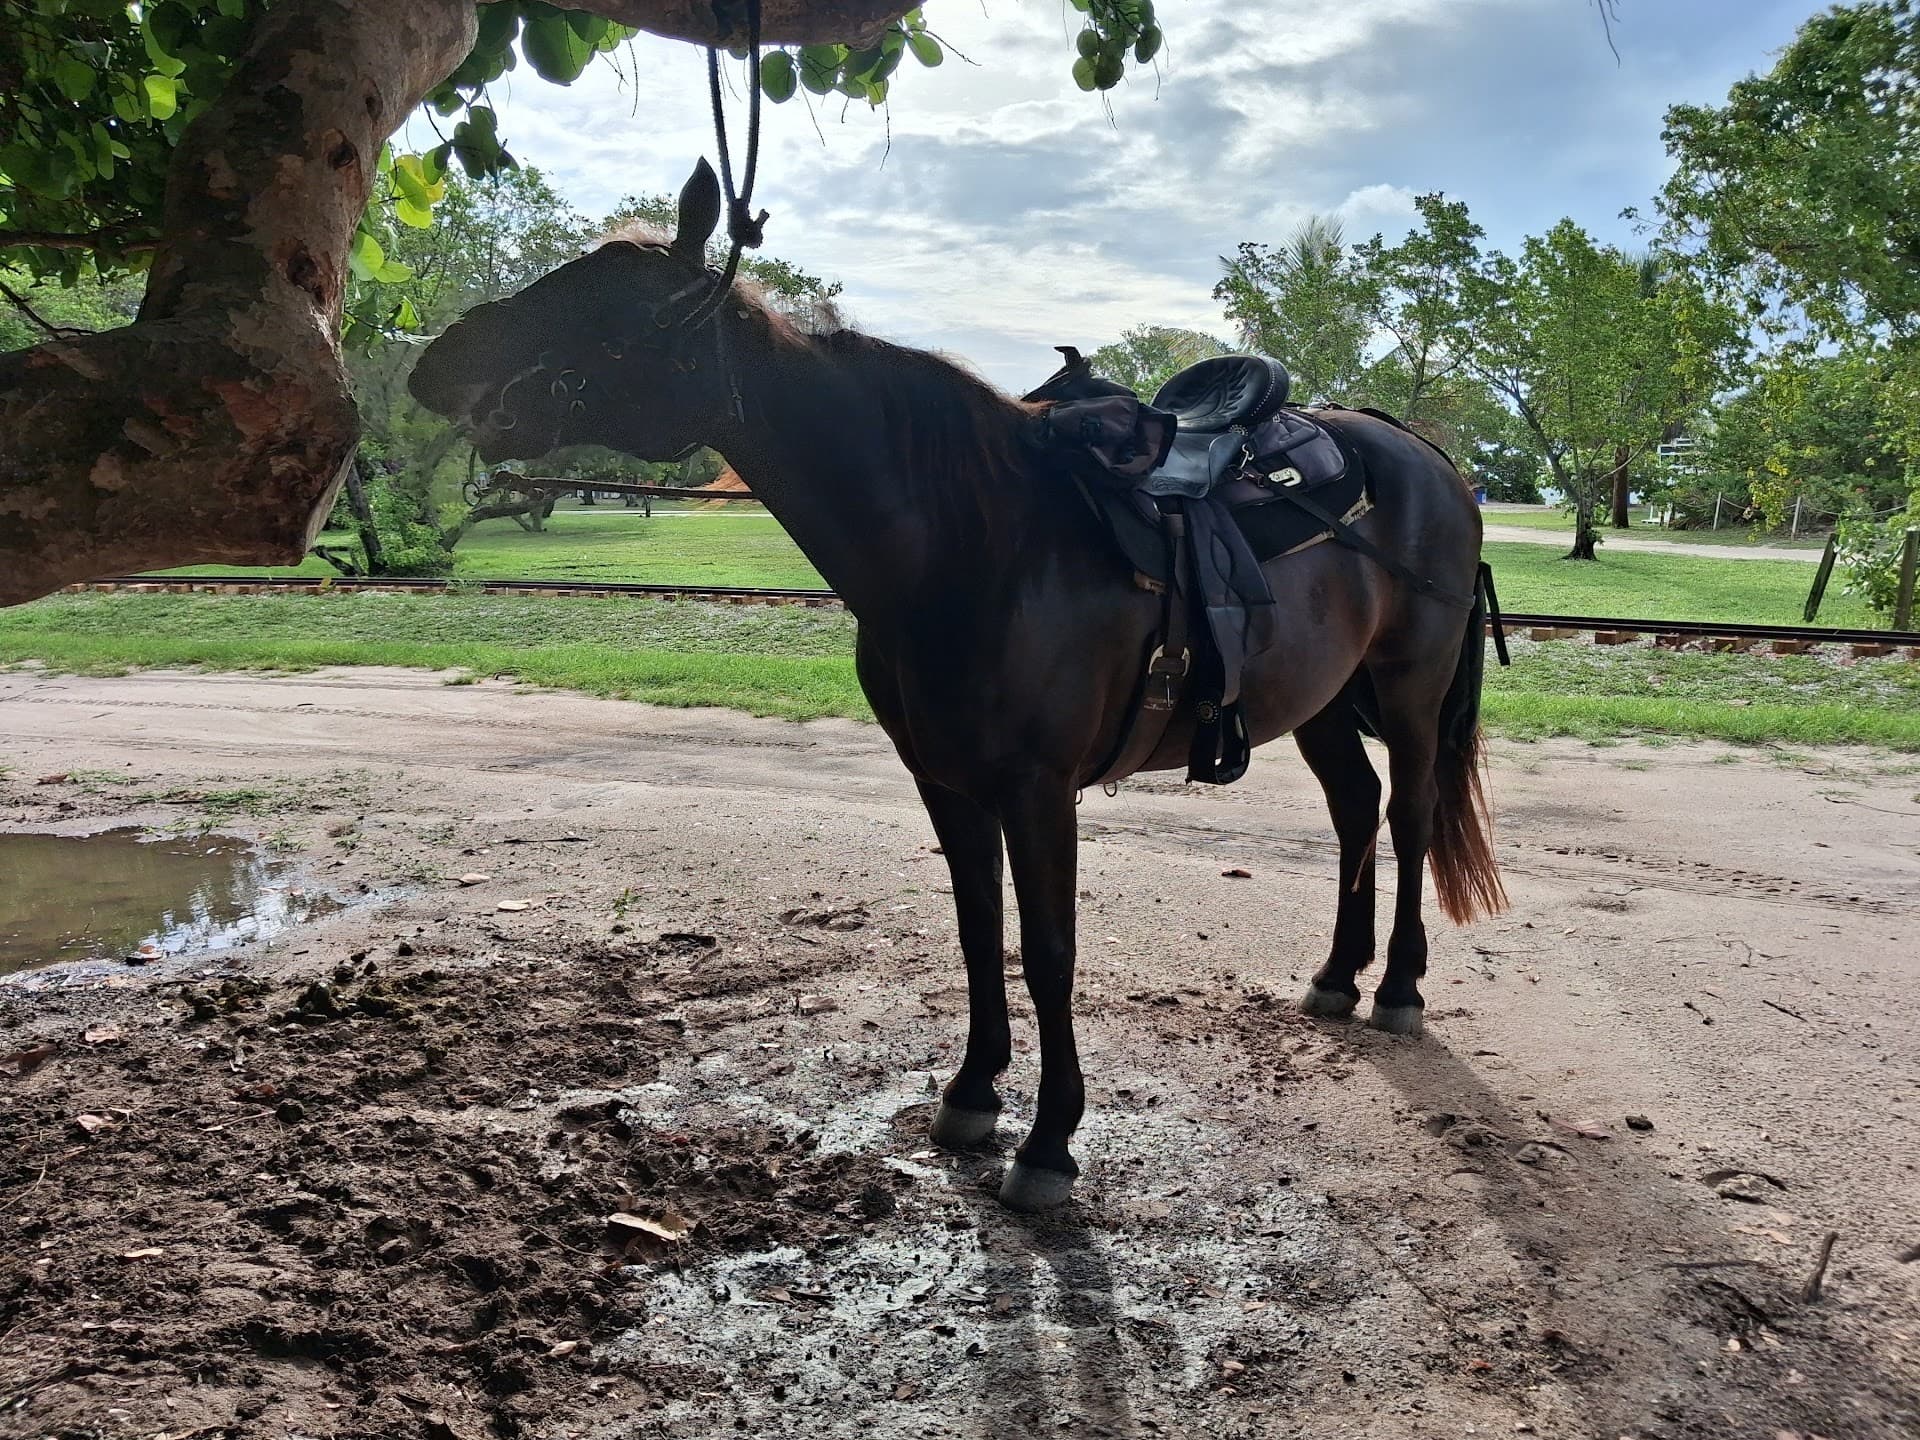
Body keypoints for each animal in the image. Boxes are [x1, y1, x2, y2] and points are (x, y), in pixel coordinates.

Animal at [408, 160, 1506, 1213]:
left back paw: (1399, 988)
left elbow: (1050, 948)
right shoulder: (946, 779)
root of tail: (1426, 457)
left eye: (613, 309)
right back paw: (1337, 976)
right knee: (1356, 810)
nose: (434, 363)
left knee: (1407, 814)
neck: (969, 545)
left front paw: (1050, 1141)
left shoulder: (1038, 789)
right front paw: (975, 1093)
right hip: (1319, 703)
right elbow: (982, 931)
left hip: (1408, 691)